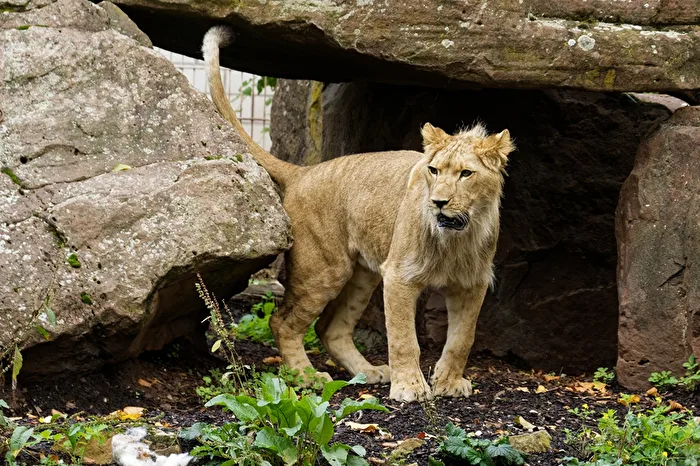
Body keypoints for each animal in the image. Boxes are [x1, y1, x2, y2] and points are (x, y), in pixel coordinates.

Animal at [202, 26, 515, 402]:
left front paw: (450, 382)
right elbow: (403, 338)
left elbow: (462, 339)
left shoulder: (472, 283)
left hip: (363, 274)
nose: (439, 202)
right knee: (283, 322)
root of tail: (303, 172)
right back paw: (308, 377)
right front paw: (410, 387)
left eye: (466, 174)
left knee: (329, 328)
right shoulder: (399, 276)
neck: (457, 234)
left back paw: (368, 372)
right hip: (324, 269)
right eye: (434, 170)